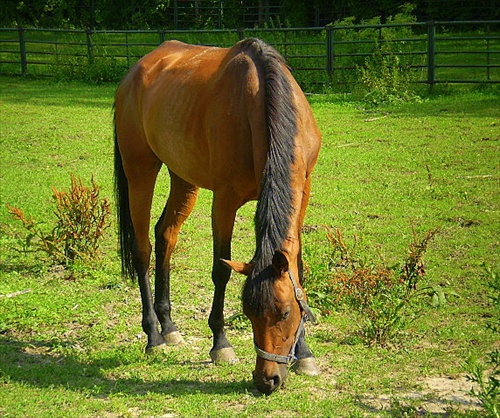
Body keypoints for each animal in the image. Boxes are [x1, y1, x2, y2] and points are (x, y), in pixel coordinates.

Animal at [114, 37, 320, 394]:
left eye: (283, 314)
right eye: (248, 314)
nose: (267, 380)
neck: (258, 101)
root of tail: (134, 73)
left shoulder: (302, 191)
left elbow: (298, 268)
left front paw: (305, 354)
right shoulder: (224, 201)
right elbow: (220, 271)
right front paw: (220, 344)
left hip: (183, 178)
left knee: (165, 235)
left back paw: (169, 326)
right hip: (140, 170)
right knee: (143, 250)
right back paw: (154, 335)